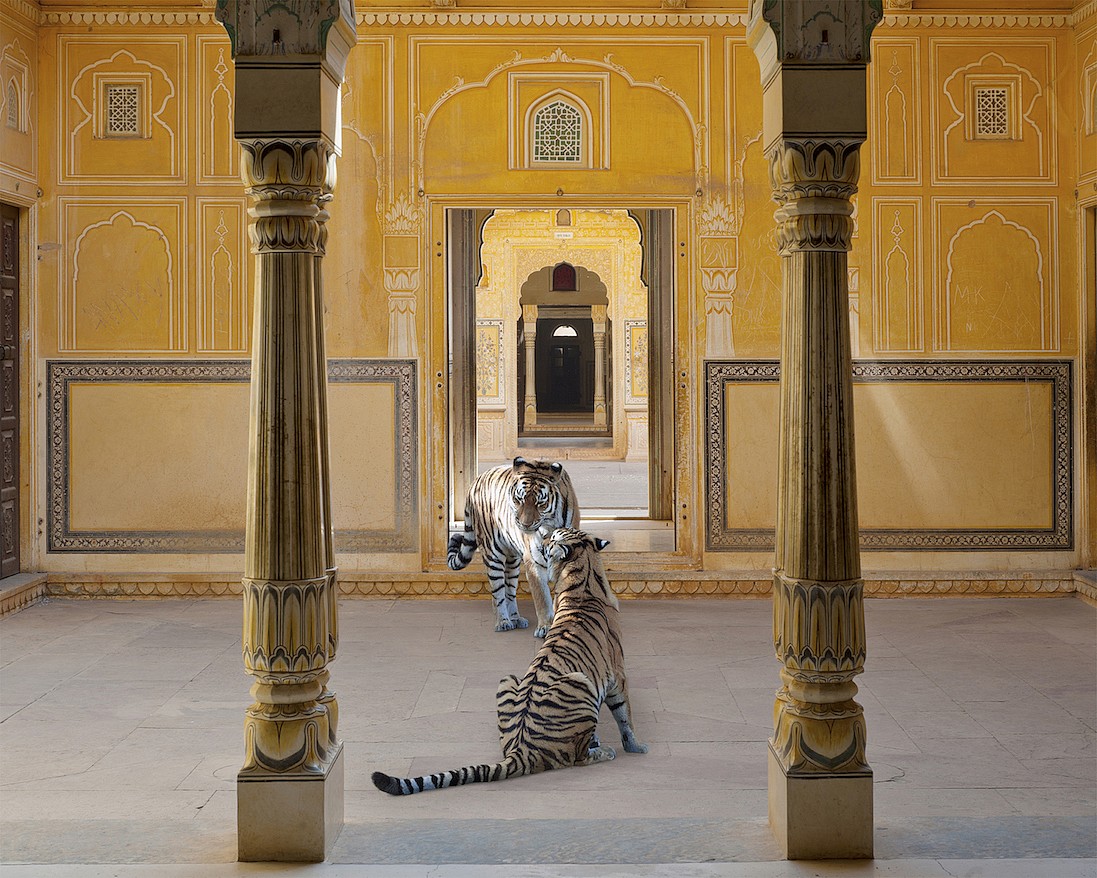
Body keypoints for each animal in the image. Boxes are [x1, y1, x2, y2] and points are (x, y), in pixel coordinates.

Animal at [372, 528, 645, 794]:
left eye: (555, 536)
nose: (542, 538)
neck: (585, 576)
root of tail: (520, 751)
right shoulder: (617, 672)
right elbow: (625, 714)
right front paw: (636, 746)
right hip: (580, 681)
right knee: (578, 757)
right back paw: (604, 752)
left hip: (508, 678)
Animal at [447, 456, 583, 636]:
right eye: (519, 499)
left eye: (540, 503)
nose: (525, 525)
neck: (550, 526)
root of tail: (476, 480)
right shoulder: (534, 562)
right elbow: (542, 598)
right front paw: (545, 627)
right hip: (493, 555)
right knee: (497, 593)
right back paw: (503, 621)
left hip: (512, 561)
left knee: (509, 591)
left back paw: (516, 618)